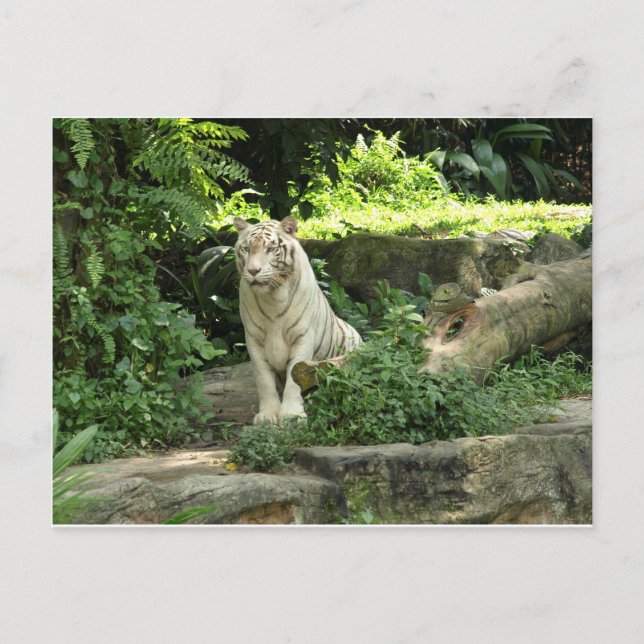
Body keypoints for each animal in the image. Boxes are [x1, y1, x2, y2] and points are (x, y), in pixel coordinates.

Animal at [233, 215, 363, 425]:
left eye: (271, 249)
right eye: (246, 249)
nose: (253, 271)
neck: (272, 297)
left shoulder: (302, 336)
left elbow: (295, 377)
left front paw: (291, 415)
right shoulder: (254, 339)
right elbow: (263, 379)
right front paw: (267, 415)